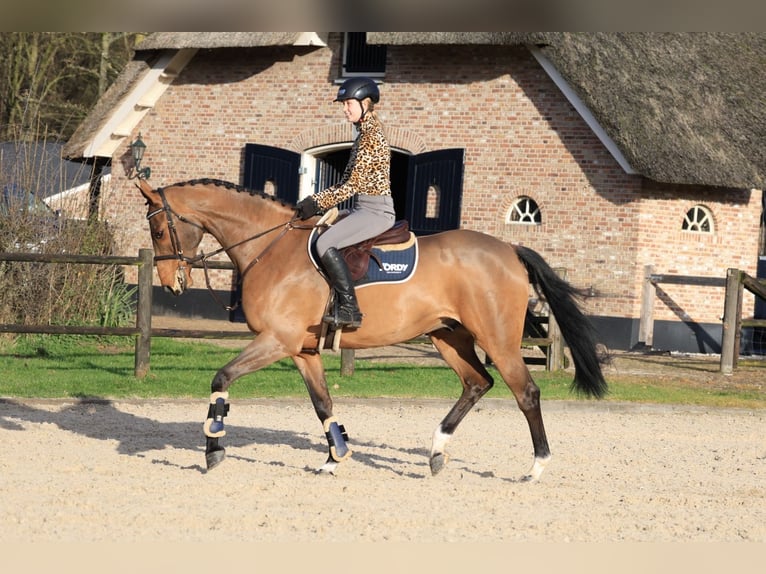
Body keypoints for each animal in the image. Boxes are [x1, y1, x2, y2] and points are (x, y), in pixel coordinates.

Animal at [138, 177, 607, 481]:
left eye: (159, 229)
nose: (172, 284)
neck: (271, 247)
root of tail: (508, 248)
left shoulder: (277, 341)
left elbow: (221, 379)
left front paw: (214, 446)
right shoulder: (302, 351)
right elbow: (323, 404)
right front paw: (336, 456)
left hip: (498, 340)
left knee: (525, 392)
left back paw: (536, 466)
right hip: (448, 336)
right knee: (477, 382)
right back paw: (436, 452)